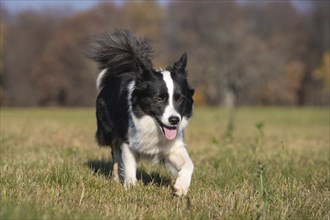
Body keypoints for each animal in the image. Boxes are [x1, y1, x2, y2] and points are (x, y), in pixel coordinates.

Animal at [89, 29, 195, 196]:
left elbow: (189, 164)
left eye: (180, 99)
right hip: (110, 131)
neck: (153, 126)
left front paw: (181, 187)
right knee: (115, 155)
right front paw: (131, 187)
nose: (174, 120)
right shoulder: (127, 141)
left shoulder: (173, 146)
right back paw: (116, 179)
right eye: (159, 98)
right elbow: (129, 166)